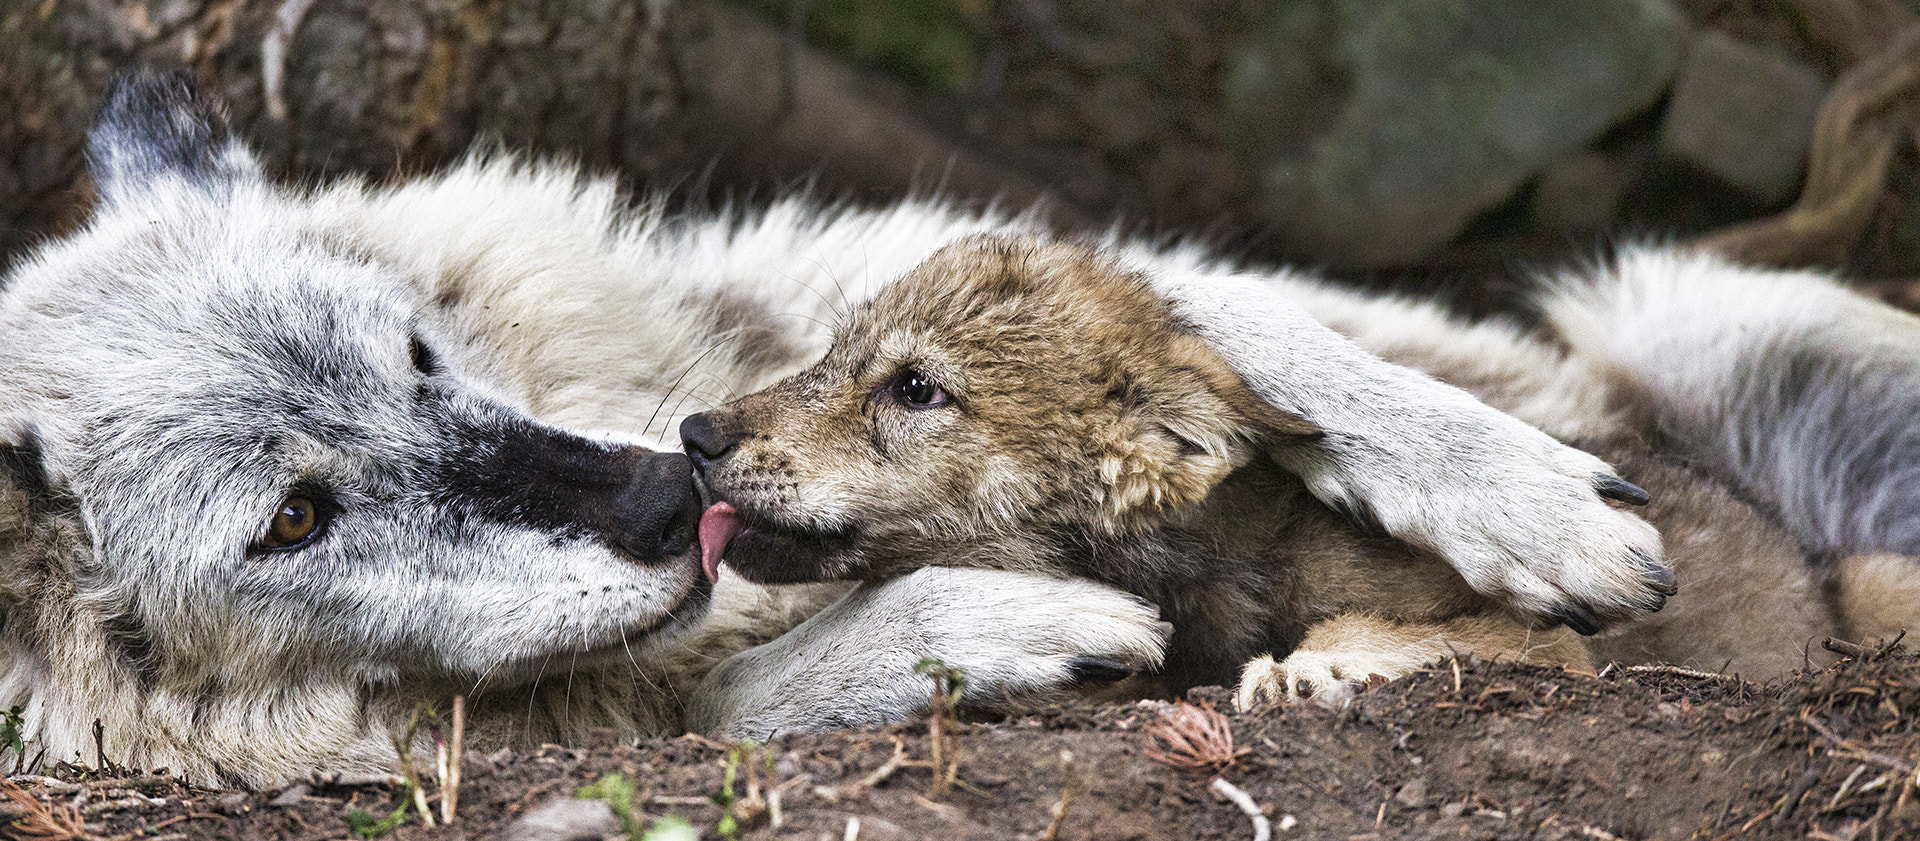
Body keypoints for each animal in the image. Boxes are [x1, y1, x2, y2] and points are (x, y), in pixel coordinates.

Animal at [0, 75, 1681, 783]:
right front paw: (988, 623)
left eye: (419, 354)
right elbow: (726, 693)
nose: (658, 499)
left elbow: (1205, 326)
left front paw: (1529, 502)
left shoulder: (794, 315)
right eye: (292, 519)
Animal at [687, 235, 1920, 702]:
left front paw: (1304, 669)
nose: (695, 435)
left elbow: (1369, 634)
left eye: (914, 388)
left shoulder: (1557, 653)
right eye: (831, 353)